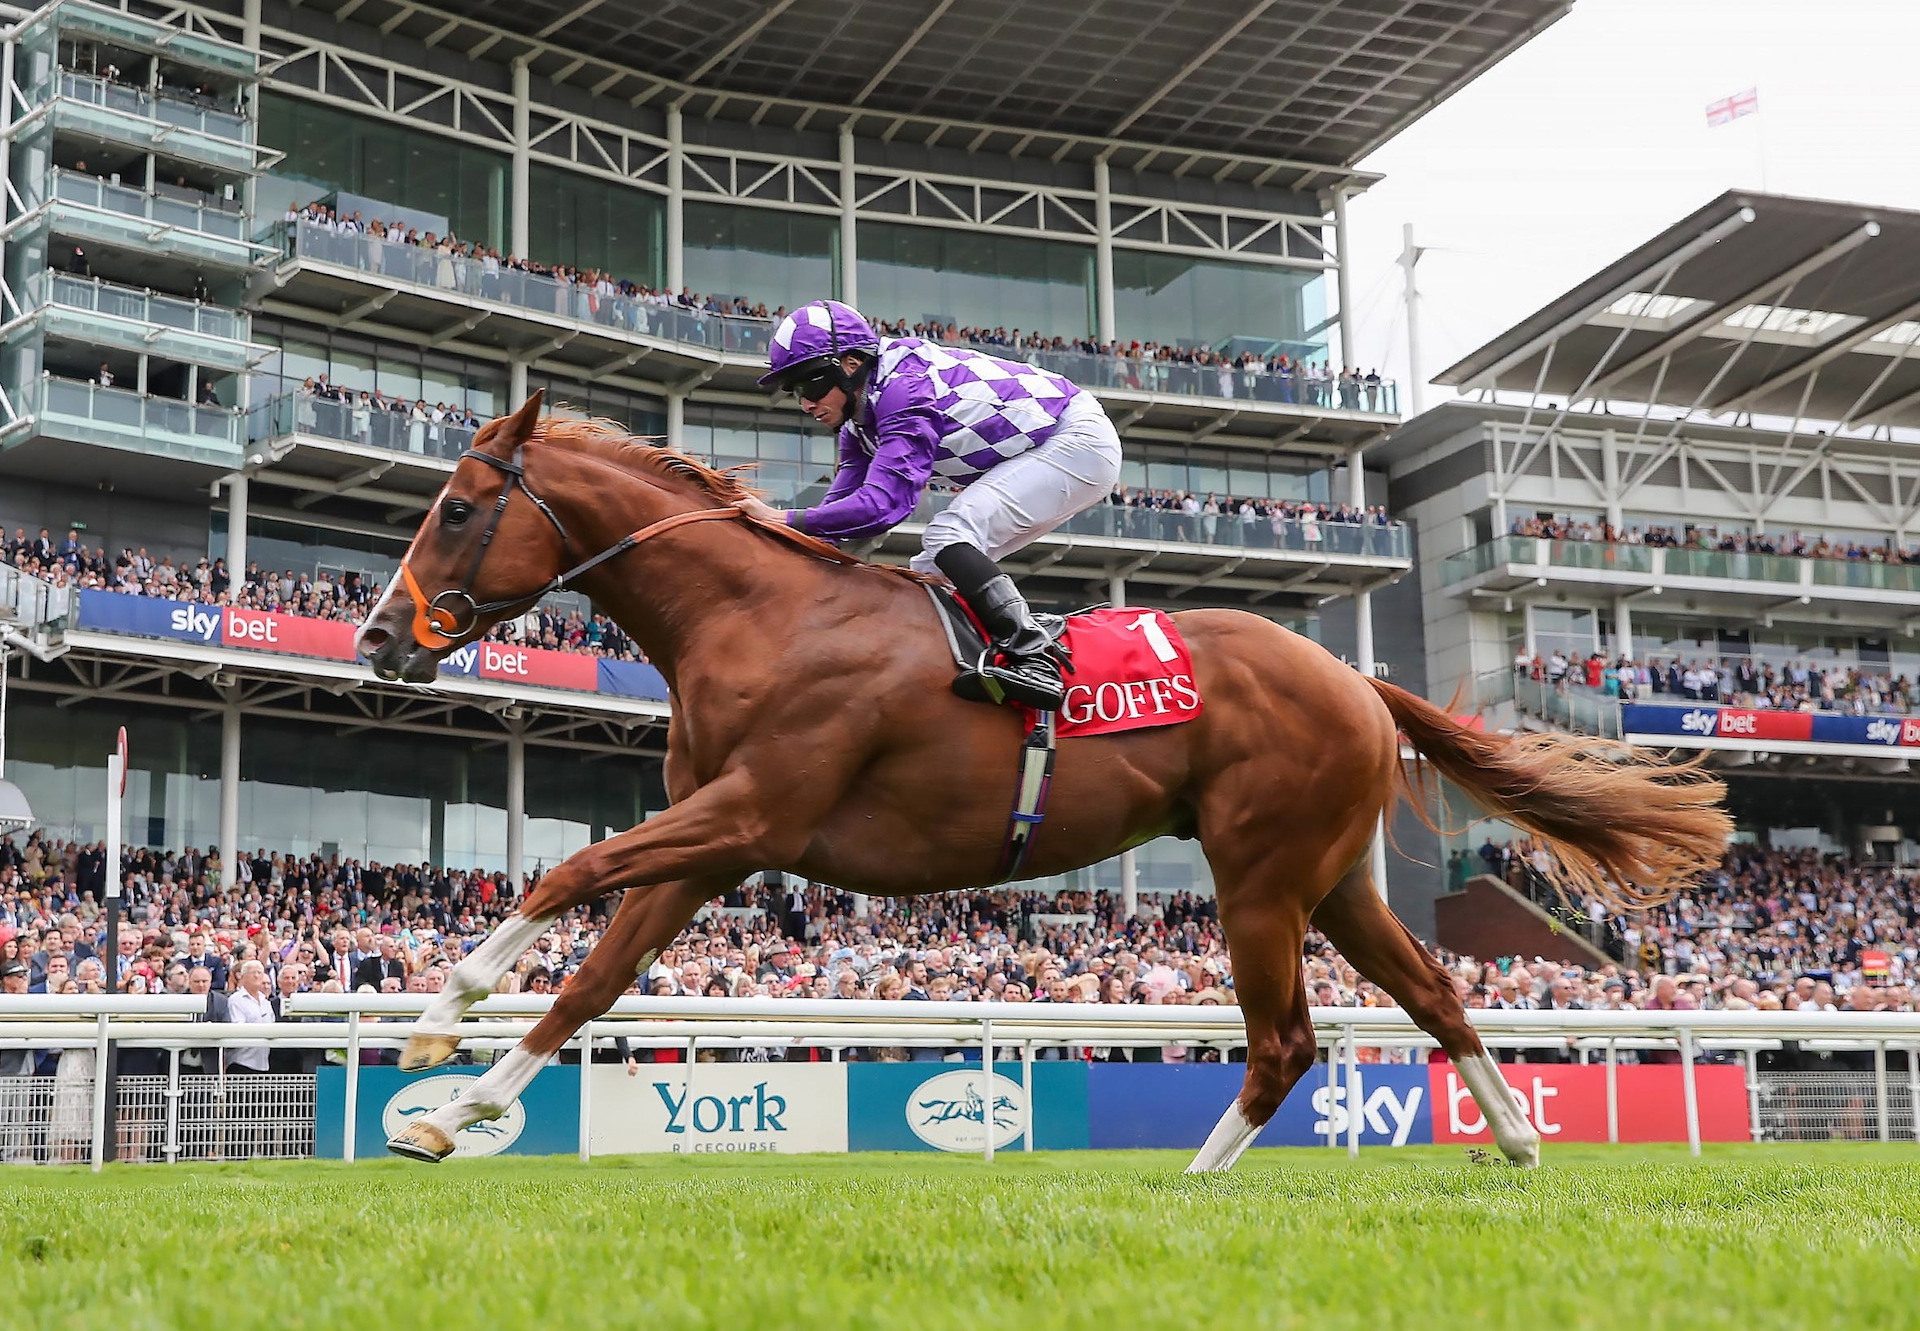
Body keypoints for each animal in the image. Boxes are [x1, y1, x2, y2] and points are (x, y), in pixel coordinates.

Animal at [353, 393, 1735, 1160]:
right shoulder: (720, 841)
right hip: (1335, 880)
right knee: (1440, 996)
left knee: (1285, 1040)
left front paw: (436, 1018)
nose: (375, 638)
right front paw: (445, 1115)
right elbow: (593, 980)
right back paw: (1515, 1140)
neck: (757, 615)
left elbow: (570, 869)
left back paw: (1194, 1181)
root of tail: (1357, 679)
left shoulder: (750, 810)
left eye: (460, 508)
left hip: (1260, 878)